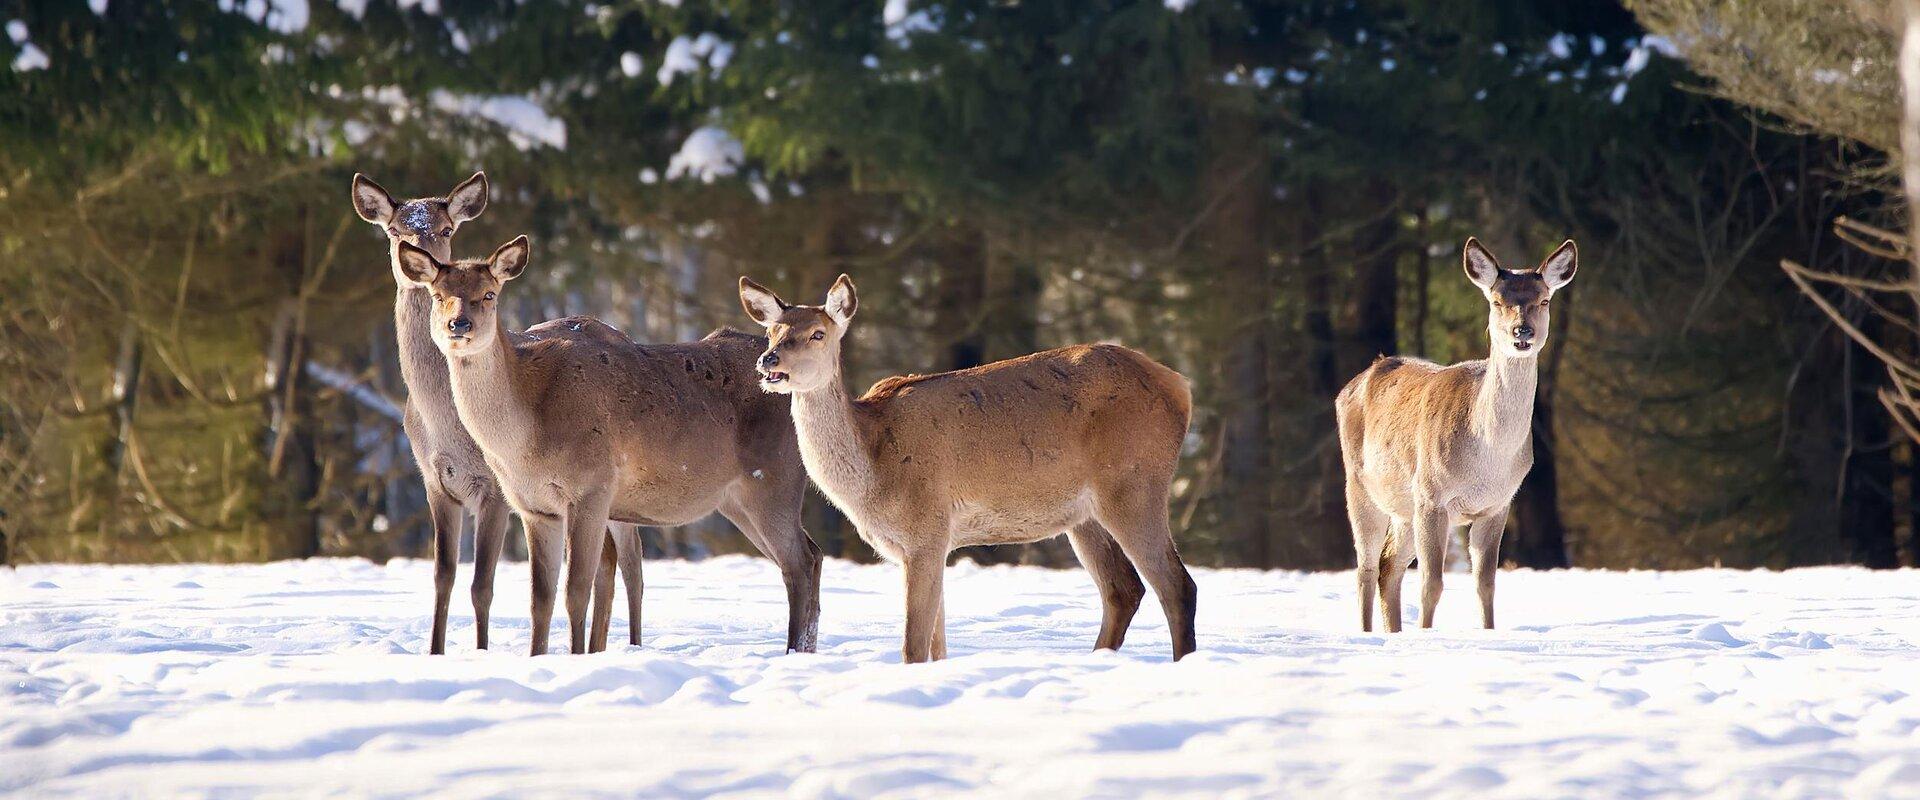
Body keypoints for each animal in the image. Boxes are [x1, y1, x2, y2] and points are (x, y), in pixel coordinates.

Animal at [349, 171, 641, 652]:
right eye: (394, 229)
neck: (444, 424)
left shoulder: (496, 490)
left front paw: (482, 650)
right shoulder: (434, 482)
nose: (422, 260)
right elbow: (442, 577)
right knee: (609, 562)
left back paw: (632, 644)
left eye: (446, 229)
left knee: (632, 563)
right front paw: (434, 651)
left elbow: (481, 585)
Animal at [393, 235, 821, 656]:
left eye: (489, 294)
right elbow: (540, 599)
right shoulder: (533, 508)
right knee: (811, 555)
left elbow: (576, 591)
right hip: (736, 500)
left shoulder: (591, 488)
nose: (458, 324)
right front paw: (536, 657)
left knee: (798, 562)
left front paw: (575, 656)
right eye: (438, 294)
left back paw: (793, 652)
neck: (524, 441)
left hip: (773, 480)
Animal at [737, 274, 1198, 659]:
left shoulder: (926, 529)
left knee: (1177, 585)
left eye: (817, 333)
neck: (873, 472)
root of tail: (1181, 386)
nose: (769, 360)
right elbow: (937, 647)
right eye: (772, 331)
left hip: (1135, 482)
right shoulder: (928, 545)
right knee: (1123, 590)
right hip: (1084, 516)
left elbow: (913, 647)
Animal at [1336, 235, 1574, 629]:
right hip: (1362, 487)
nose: (1522, 332)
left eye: (1544, 300)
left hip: (1404, 506)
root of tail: (1349, 387)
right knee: (1365, 568)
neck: (1487, 458)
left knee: (1388, 566)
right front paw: (1426, 634)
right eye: (1497, 301)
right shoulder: (1432, 495)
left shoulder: (1498, 504)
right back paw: (1367, 634)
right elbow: (1431, 584)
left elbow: (1486, 584)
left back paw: (1393, 631)